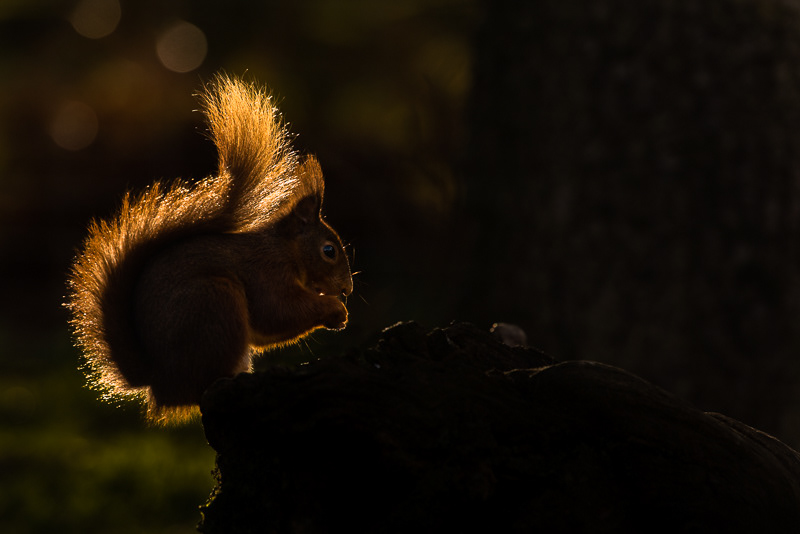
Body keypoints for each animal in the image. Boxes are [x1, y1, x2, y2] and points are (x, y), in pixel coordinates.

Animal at [66, 75, 353, 424]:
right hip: (214, 301)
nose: (348, 289)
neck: (285, 250)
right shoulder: (266, 273)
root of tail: (159, 380)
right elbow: (277, 313)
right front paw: (336, 310)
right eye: (329, 251)